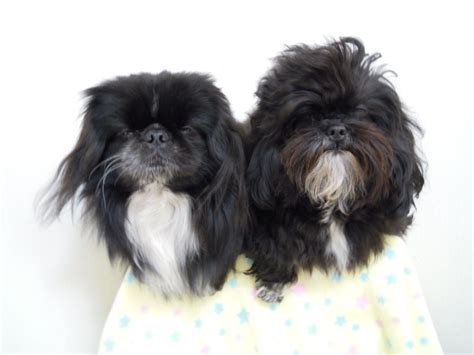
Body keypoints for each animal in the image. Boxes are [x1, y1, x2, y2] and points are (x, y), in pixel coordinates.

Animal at [243, 38, 424, 304]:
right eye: (310, 116)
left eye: (360, 113)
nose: (337, 129)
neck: (332, 201)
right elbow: (275, 249)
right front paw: (273, 283)